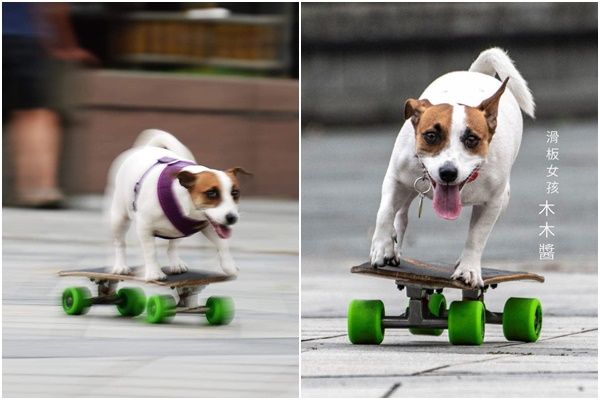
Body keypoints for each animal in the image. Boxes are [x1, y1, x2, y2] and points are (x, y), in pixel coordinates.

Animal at [105, 129, 248, 282]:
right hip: (118, 219)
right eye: (211, 193)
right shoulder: (144, 228)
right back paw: (120, 266)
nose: (232, 218)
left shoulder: (210, 225)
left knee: (173, 246)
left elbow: (223, 245)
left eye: (235, 193)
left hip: (179, 230)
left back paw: (175, 263)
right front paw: (154, 272)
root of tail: (147, 148)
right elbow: (150, 251)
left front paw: (229, 266)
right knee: (120, 243)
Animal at [370, 47, 536, 288]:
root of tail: (475, 73)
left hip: (504, 199)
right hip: (409, 186)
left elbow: (477, 236)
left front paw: (468, 269)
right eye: (431, 136)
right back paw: (394, 244)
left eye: (472, 139)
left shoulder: (493, 202)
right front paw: (382, 247)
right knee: (400, 211)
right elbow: (385, 211)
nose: (448, 172)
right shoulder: (395, 177)